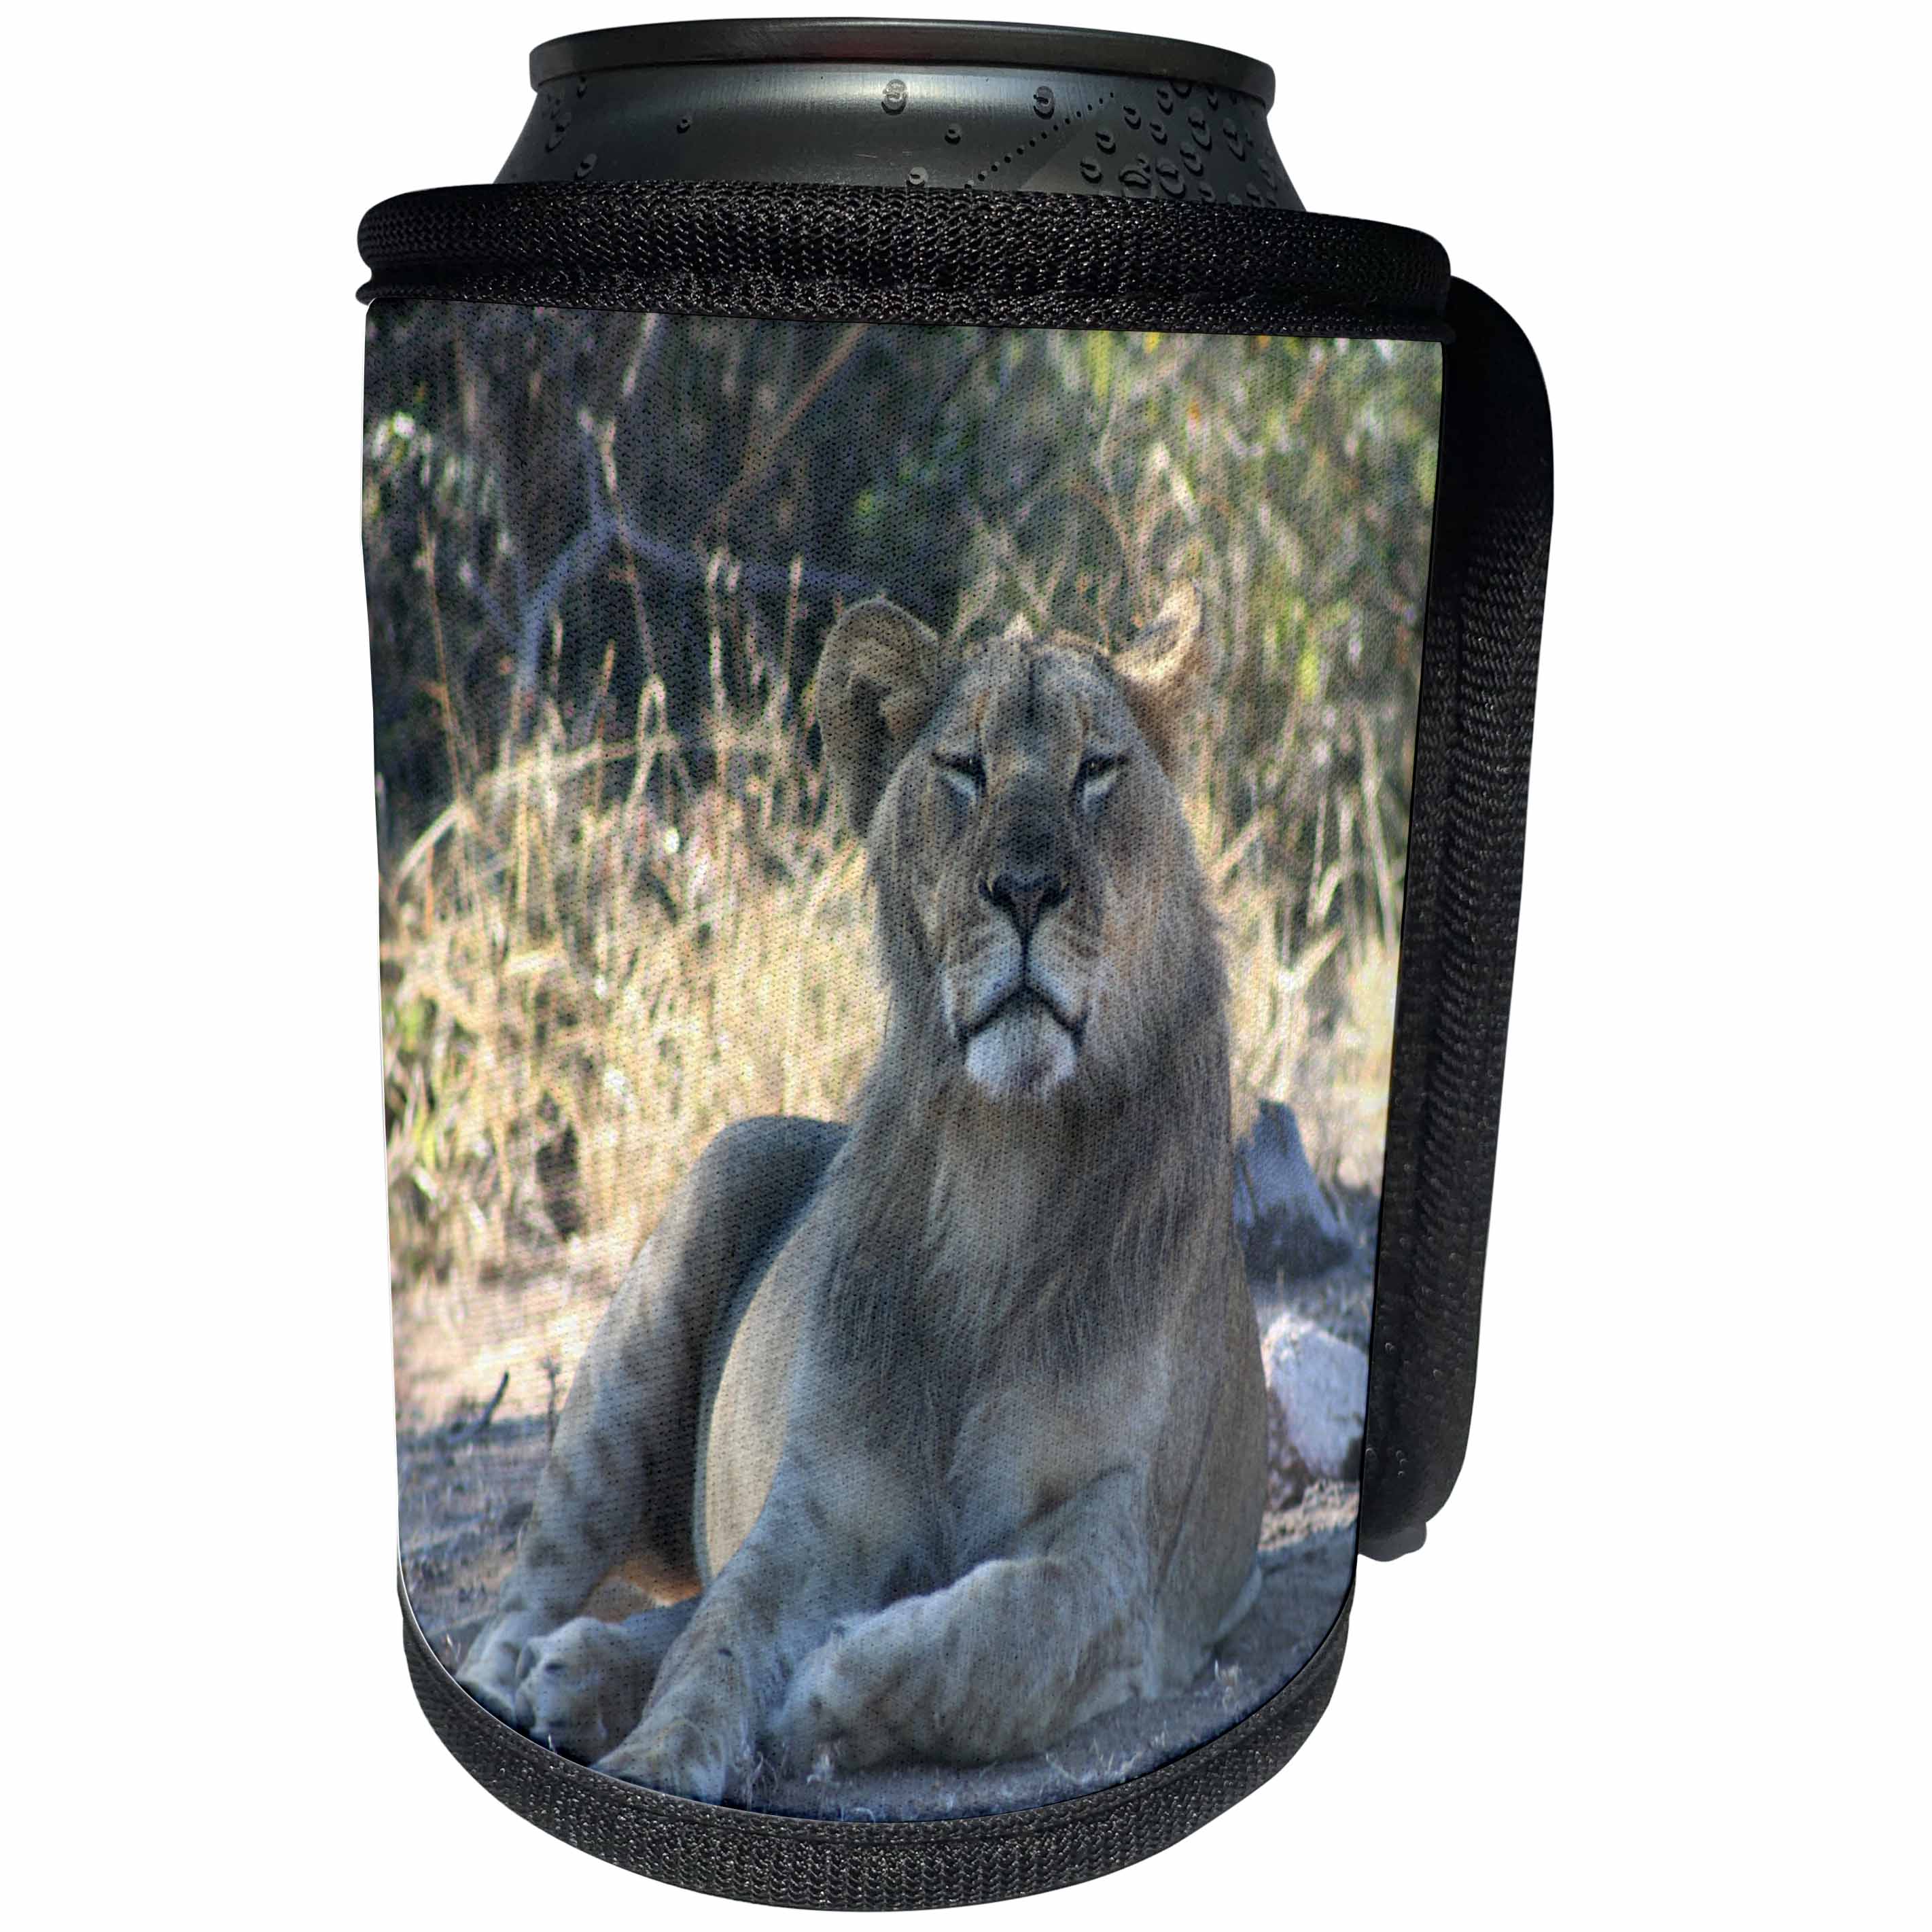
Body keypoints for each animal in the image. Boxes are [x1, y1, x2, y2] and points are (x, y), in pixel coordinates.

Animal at [453, 588, 1267, 1802]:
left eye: (1097, 768)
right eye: (963, 767)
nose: (1025, 889)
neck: (1004, 1161)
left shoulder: (1120, 1547)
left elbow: (998, 1632)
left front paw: (826, 1688)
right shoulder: (817, 1507)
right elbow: (721, 1637)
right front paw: (659, 1756)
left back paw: (583, 1672)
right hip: (683, 1247)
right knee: (531, 1593)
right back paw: (522, 1684)